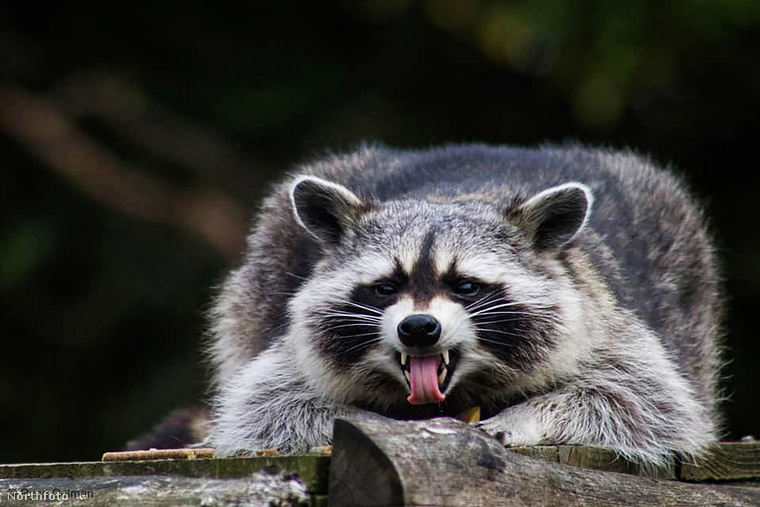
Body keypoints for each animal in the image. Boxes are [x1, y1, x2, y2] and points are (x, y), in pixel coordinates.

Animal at [208, 144, 724, 468]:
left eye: (466, 286)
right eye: (385, 287)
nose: (418, 328)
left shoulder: (602, 323)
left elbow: (643, 401)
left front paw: (527, 415)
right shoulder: (290, 351)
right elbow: (267, 408)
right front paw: (371, 420)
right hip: (267, 264)